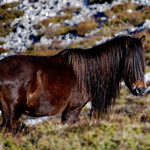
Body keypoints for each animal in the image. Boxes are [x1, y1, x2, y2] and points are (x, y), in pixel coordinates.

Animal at [0, 34, 146, 134]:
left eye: (142, 60)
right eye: (130, 61)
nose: (141, 89)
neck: (86, 73)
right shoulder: (72, 111)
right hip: (12, 113)